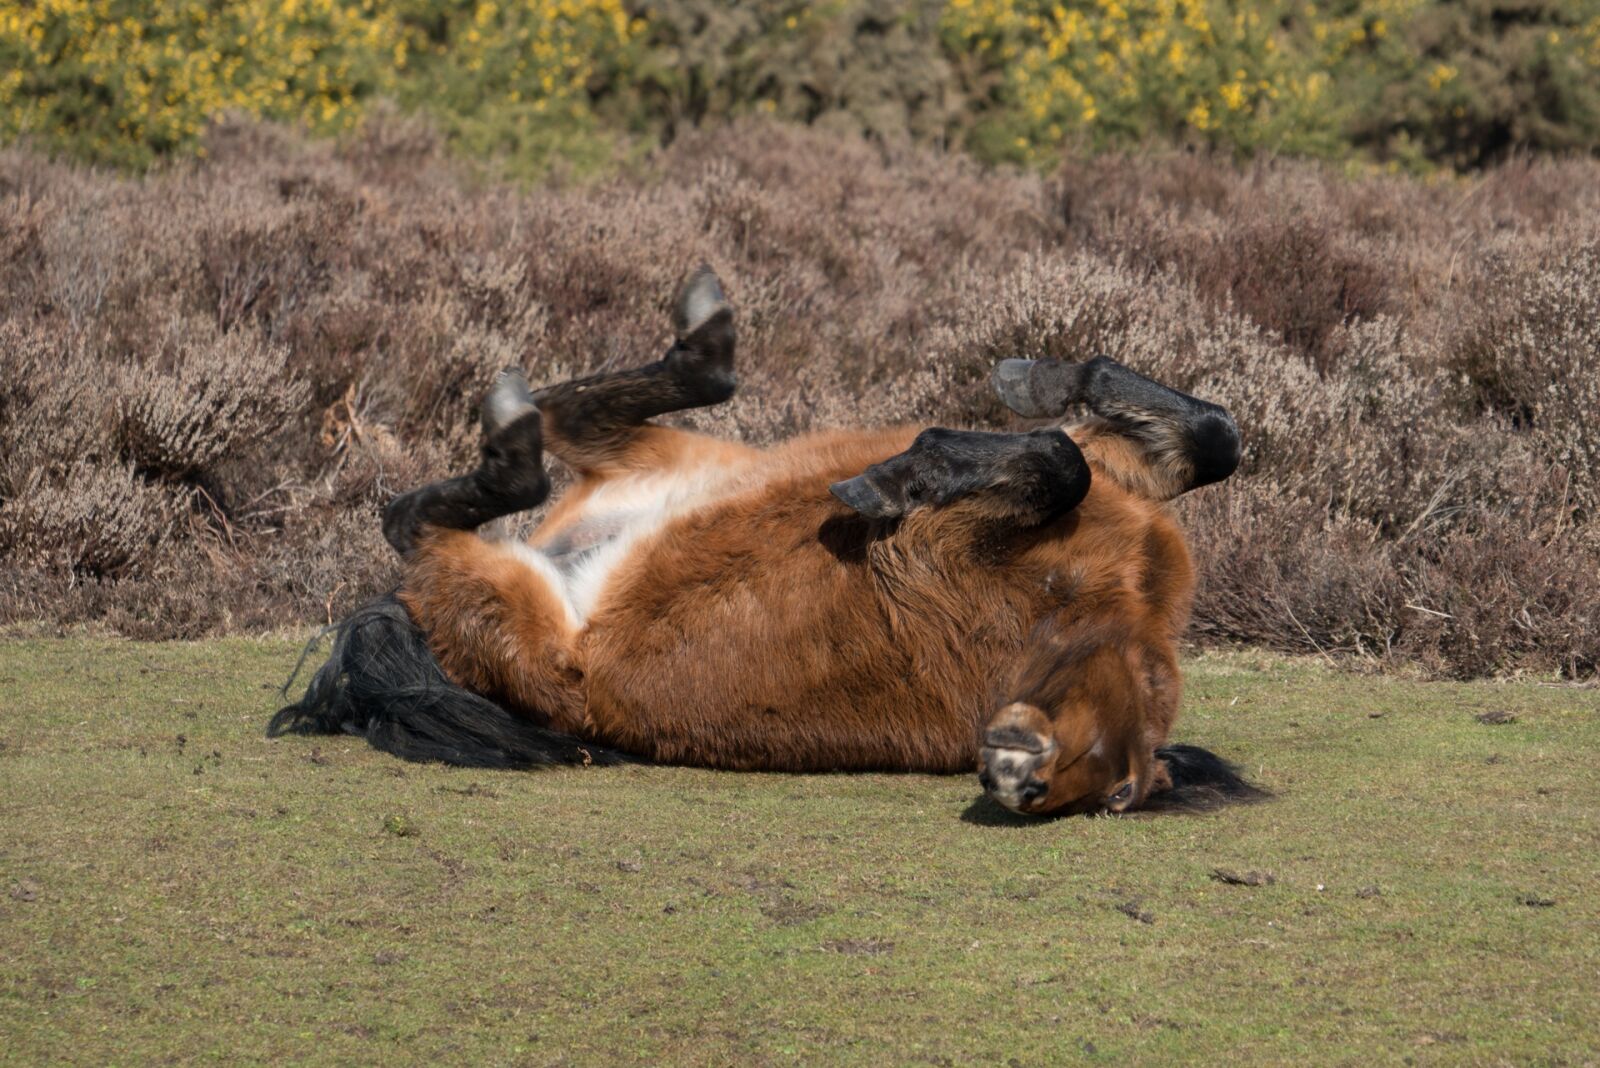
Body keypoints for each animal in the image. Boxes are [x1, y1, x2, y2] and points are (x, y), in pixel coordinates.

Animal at [275, 267, 1260, 818]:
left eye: (1118, 793)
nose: (1015, 776)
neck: (1094, 601)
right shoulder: (1108, 487)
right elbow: (1178, 438)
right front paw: (1006, 403)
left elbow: (1091, 456)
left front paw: (906, 472)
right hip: (696, 457)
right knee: (549, 430)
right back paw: (700, 345)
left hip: (506, 594)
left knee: (441, 509)